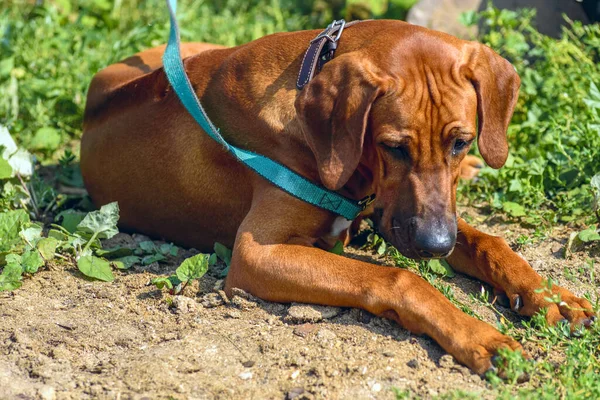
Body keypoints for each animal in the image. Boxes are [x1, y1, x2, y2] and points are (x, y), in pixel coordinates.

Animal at [81, 20, 596, 374]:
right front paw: (480, 336)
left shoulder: (397, 215)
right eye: (393, 146)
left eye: (461, 142)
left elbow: (489, 241)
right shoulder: (255, 254)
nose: (435, 246)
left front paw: (551, 296)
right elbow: (398, 278)